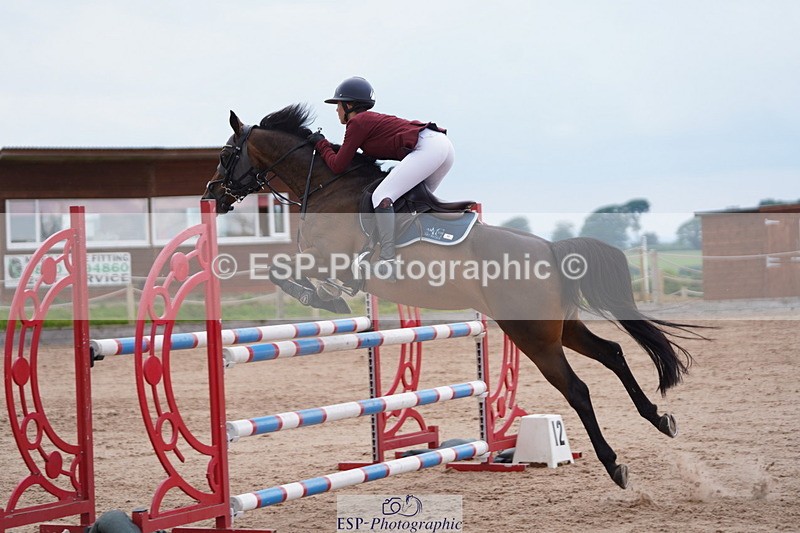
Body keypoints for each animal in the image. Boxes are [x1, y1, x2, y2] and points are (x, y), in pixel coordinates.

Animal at [202, 103, 703, 489]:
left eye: (226, 154)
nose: (213, 196)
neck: (327, 186)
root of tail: (549, 248)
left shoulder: (329, 258)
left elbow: (285, 271)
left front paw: (327, 299)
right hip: (559, 327)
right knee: (614, 352)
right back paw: (660, 418)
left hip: (531, 335)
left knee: (578, 388)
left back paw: (614, 464)